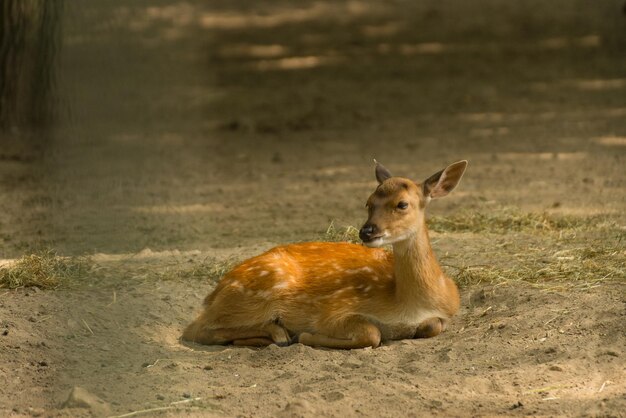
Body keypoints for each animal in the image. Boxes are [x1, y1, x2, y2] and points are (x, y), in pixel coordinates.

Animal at [180, 160, 464, 350]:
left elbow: (433, 326)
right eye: (368, 202)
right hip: (259, 293)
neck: (407, 305)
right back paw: (279, 334)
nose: (366, 231)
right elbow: (372, 333)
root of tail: (214, 293)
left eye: (402, 204)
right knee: (195, 329)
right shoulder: (334, 310)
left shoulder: (445, 314)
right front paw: (304, 336)